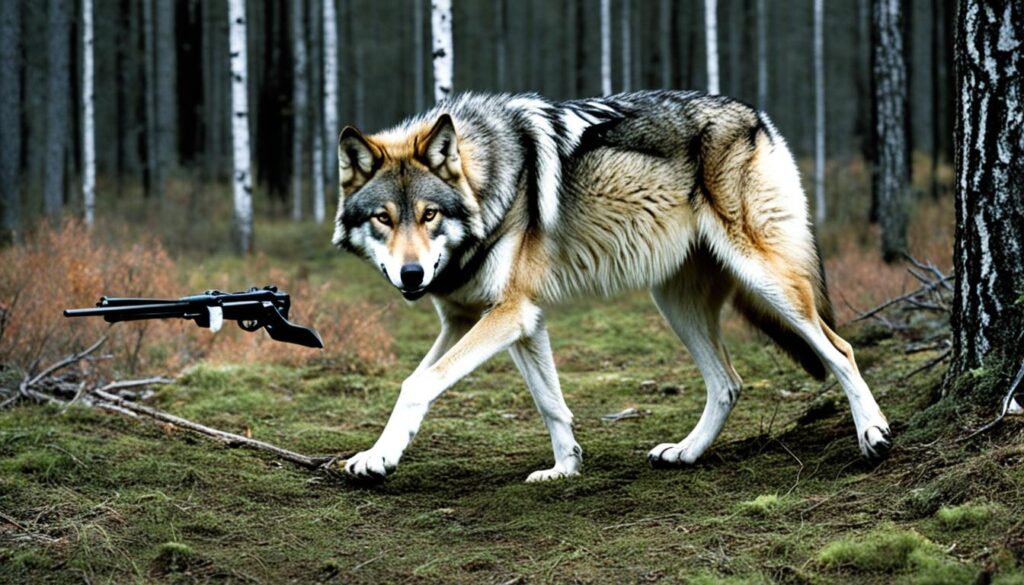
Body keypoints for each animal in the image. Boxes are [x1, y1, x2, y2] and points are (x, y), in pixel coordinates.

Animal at [332, 90, 891, 482]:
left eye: (429, 215)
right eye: (383, 218)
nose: (411, 275)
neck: (488, 182)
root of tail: (756, 116)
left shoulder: (509, 314)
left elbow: (417, 384)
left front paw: (382, 458)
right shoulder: (501, 320)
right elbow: (547, 402)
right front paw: (564, 468)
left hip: (767, 280)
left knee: (839, 348)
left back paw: (873, 434)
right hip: (674, 302)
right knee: (728, 383)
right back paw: (685, 453)